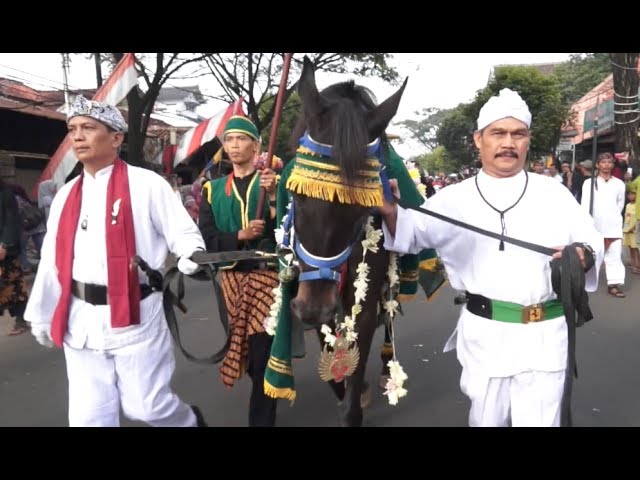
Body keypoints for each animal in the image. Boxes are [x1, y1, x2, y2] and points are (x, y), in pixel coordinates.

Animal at [288, 58, 408, 426]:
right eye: (297, 195)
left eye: (361, 208)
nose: (311, 308)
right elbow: (330, 345)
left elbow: (365, 326)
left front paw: (355, 399)